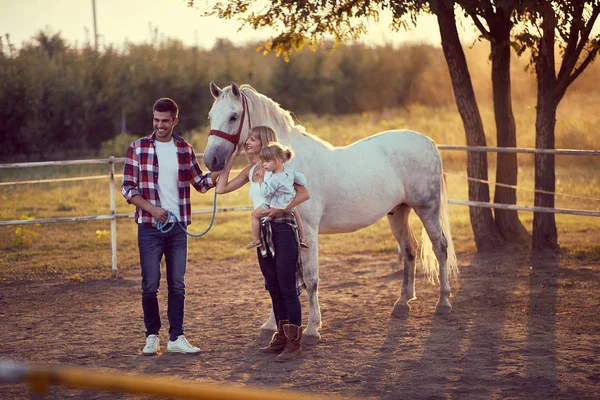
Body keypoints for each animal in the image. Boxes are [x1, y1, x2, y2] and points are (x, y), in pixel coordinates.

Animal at [204, 81, 458, 344]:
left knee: (440, 247)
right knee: (410, 249)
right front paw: (270, 325)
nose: (211, 160)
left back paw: (443, 303)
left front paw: (312, 329)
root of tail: (428, 142)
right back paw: (402, 303)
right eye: (211, 116)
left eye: (234, 116)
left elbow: (310, 279)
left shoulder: (307, 231)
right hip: (398, 212)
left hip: (427, 208)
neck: (287, 163)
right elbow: (282, 278)